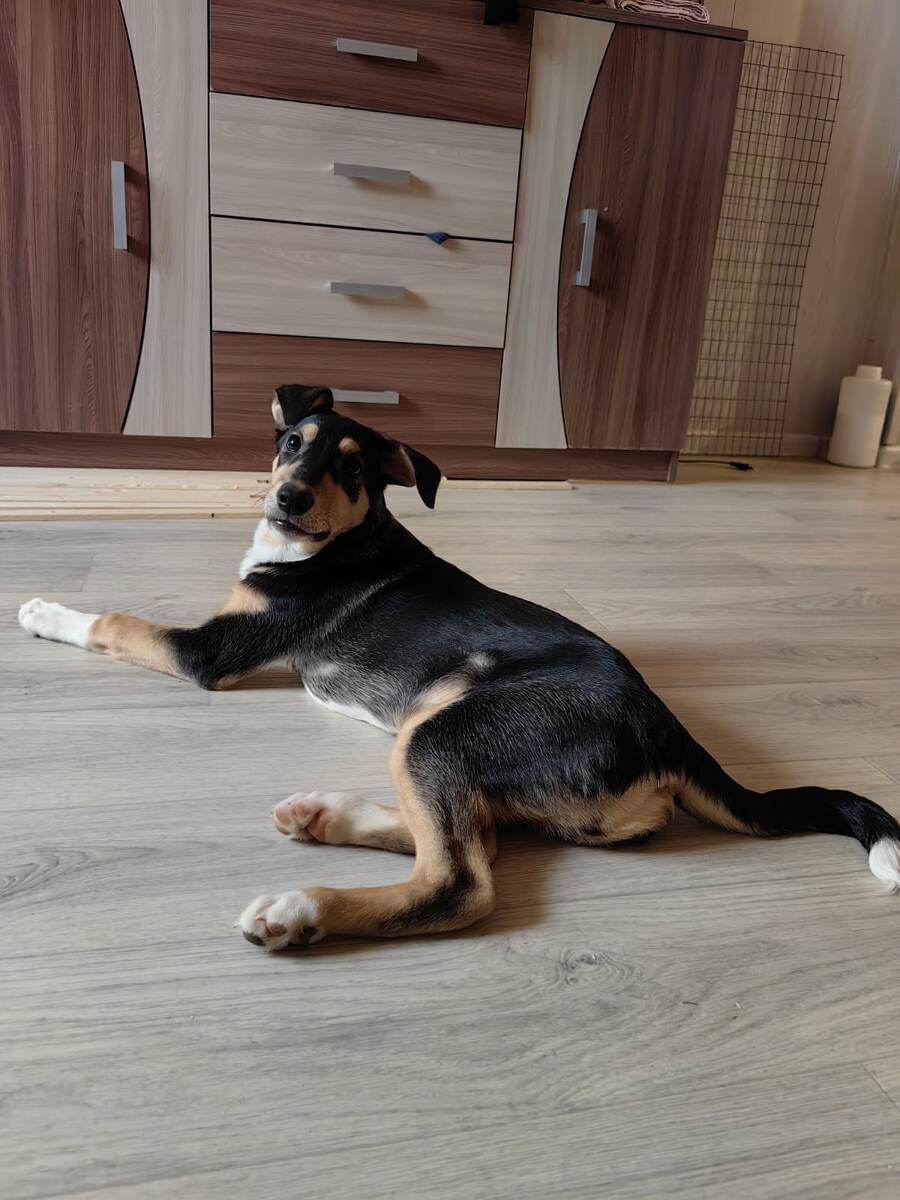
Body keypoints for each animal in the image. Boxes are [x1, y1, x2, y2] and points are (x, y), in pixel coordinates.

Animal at [18, 385, 900, 950]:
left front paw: (41, 611)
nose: (289, 498)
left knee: (461, 882)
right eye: (291, 444)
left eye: (353, 471)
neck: (338, 537)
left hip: (448, 731)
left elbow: (120, 621)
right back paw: (326, 817)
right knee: (474, 836)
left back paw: (302, 910)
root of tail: (667, 728)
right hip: (439, 735)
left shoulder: (214, 650)